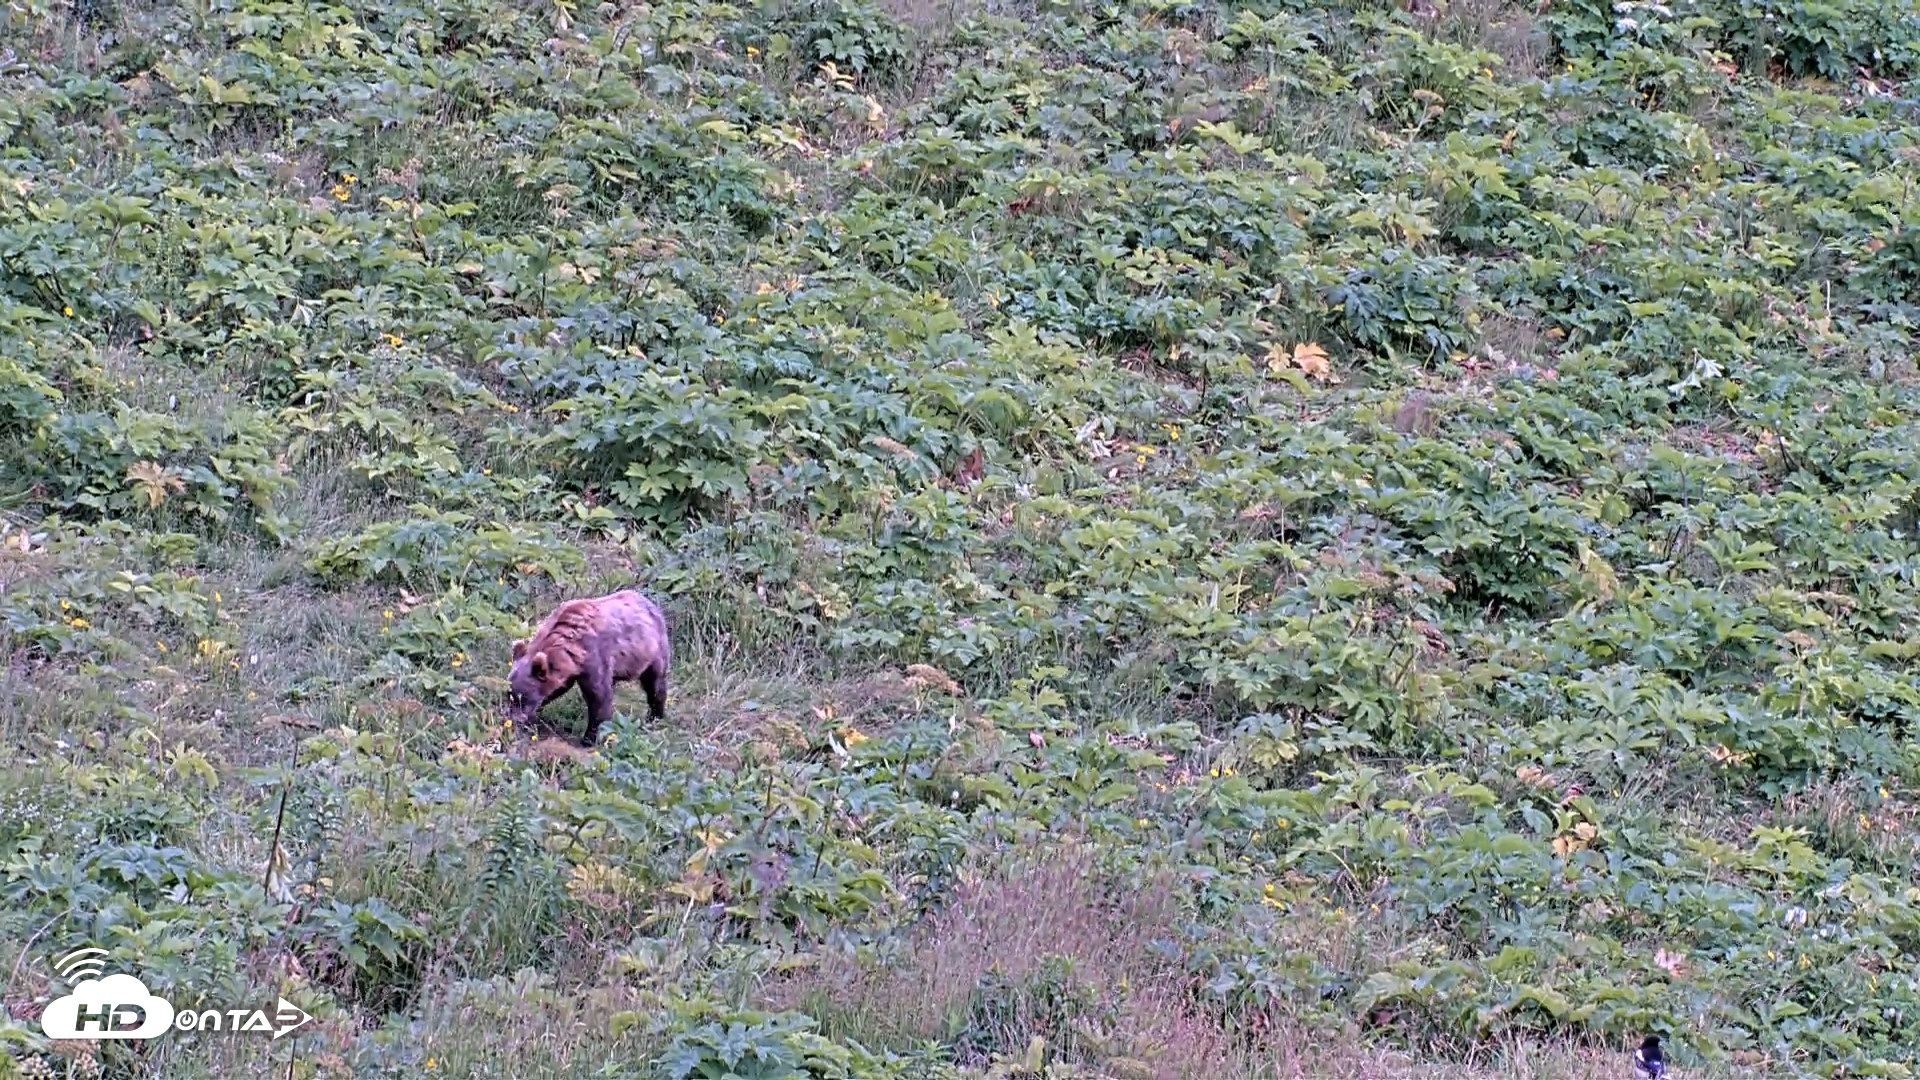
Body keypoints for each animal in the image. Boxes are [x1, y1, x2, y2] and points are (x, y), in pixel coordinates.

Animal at [507, 588, 671, 747]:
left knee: (655, 683)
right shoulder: (570, 669)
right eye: (509, 694)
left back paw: (655, 716)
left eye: (523, 697)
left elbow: (598, 696)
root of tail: (652, 604)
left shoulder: (595, 655)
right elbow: (558, 688)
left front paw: (589, 738)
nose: (512, 718)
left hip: (652, 651)